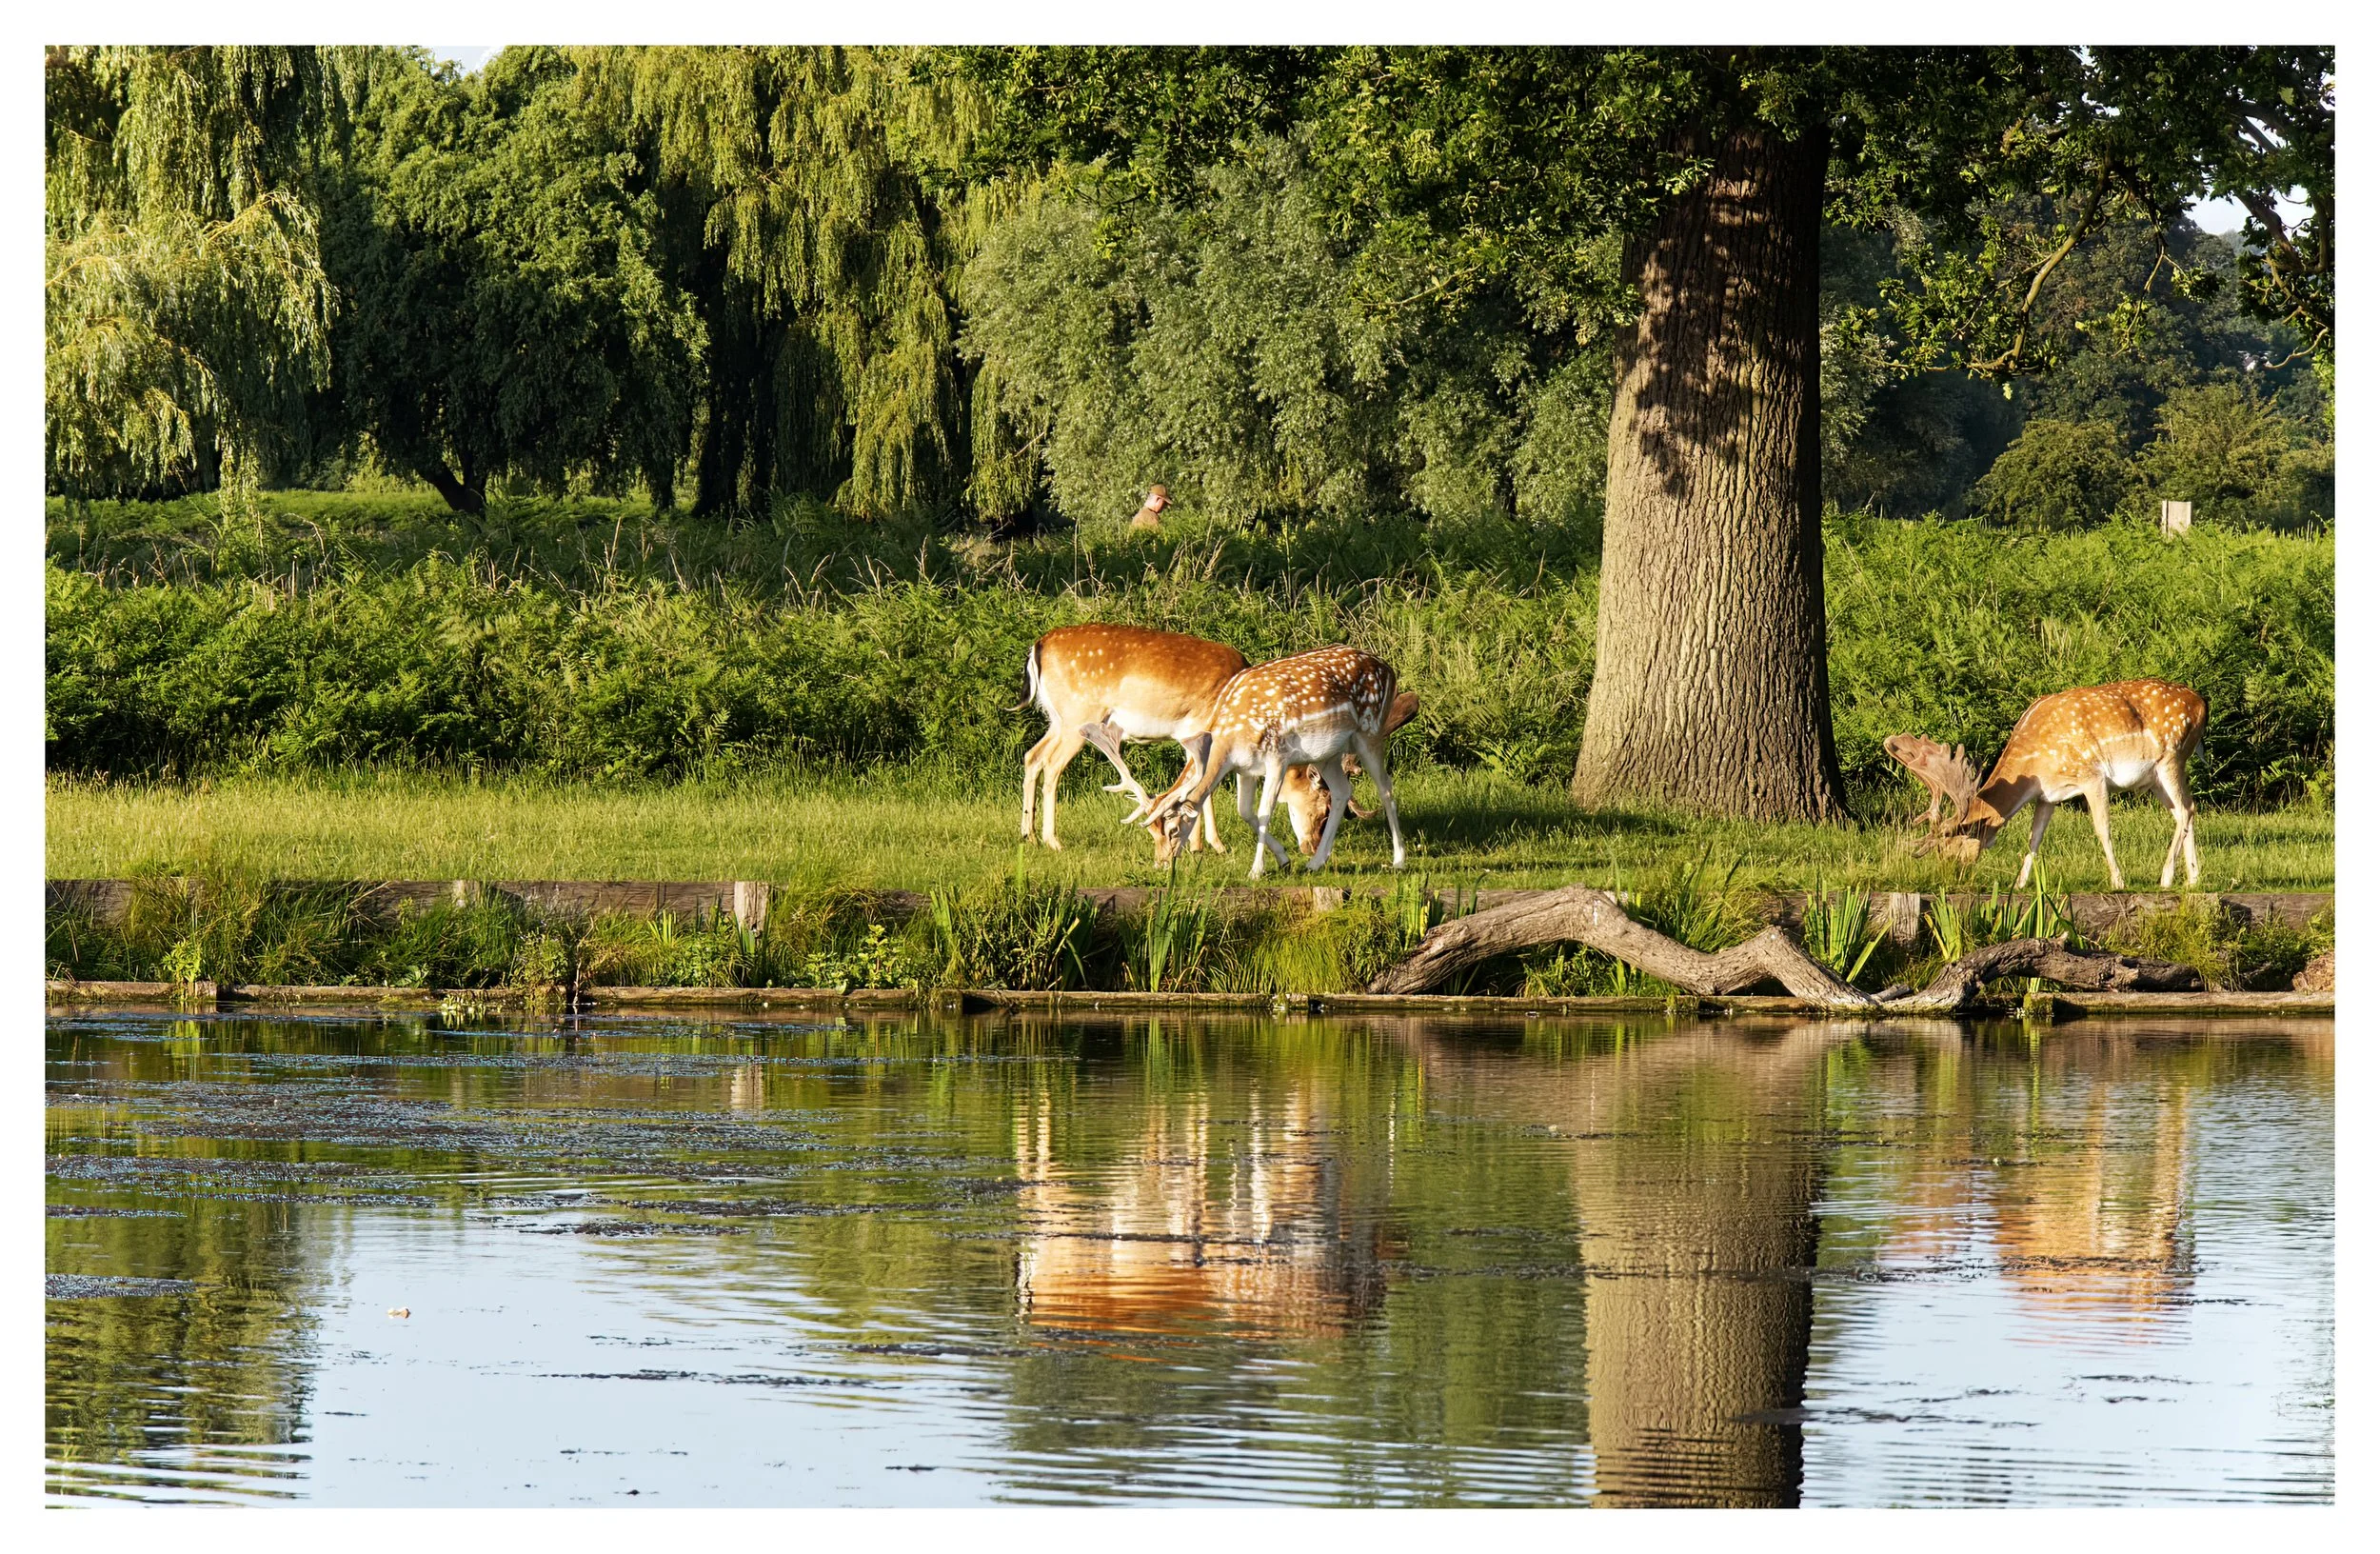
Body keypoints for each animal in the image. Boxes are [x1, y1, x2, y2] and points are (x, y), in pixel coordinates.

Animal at [1113, 645, 1409, 879]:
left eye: (1173, 829)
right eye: (1152, 832)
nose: (1161, 863)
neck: (1229, 736)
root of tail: (1390, 669)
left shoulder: (1277, 757)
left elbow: (1265, 811)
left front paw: (1257, 870)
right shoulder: (1245, 768)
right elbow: (1245, 811)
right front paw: (1284, 859)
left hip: (1370, 730)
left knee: (1386, 788)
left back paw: (1398, 860)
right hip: (1327, 755)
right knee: (1342, 791)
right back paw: (1315, 862)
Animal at [1884, 678, 2208, 890]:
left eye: (1947, 848)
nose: (1948, 877)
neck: (2036, 761)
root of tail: (2202, 703)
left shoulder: (2091, 775)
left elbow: (2102, 829)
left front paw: (2118, 881)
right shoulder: (2047, 796)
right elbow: (2034, 838)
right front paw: (2019, 883)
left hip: (2172, 756)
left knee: (2184, 810)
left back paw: (2166, 878)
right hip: (2154, 778)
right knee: (2187, 809)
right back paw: (2193, 879)